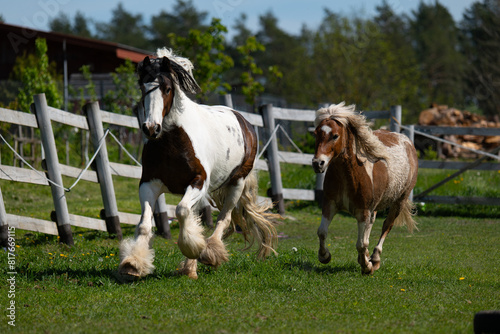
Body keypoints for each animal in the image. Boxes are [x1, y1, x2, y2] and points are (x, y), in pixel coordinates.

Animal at [119, 48, 280, 280]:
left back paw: (209, 253)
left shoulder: (198, 181)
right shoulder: (149, 184)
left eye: (167, 89)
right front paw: (133, 264)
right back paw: (190, 269)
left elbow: (181, 211)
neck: (172, 141)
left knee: (224, 218)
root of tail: (243, 121)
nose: (151, 128)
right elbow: (145, 225)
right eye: (143, 87)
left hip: (237, 183)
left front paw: (195, 249)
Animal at [312, 102, 418, 274]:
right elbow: (322, 232)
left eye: (335, 135)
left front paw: (367, 266)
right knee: (371, 225)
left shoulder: (363, 211)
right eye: (316, 134)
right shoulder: (330, 204)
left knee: (386, 226)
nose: (317, 163)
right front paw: (324, 256)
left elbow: (361, 244)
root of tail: (406, 140)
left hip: (399, 201)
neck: (349, 175)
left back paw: (375, 258)